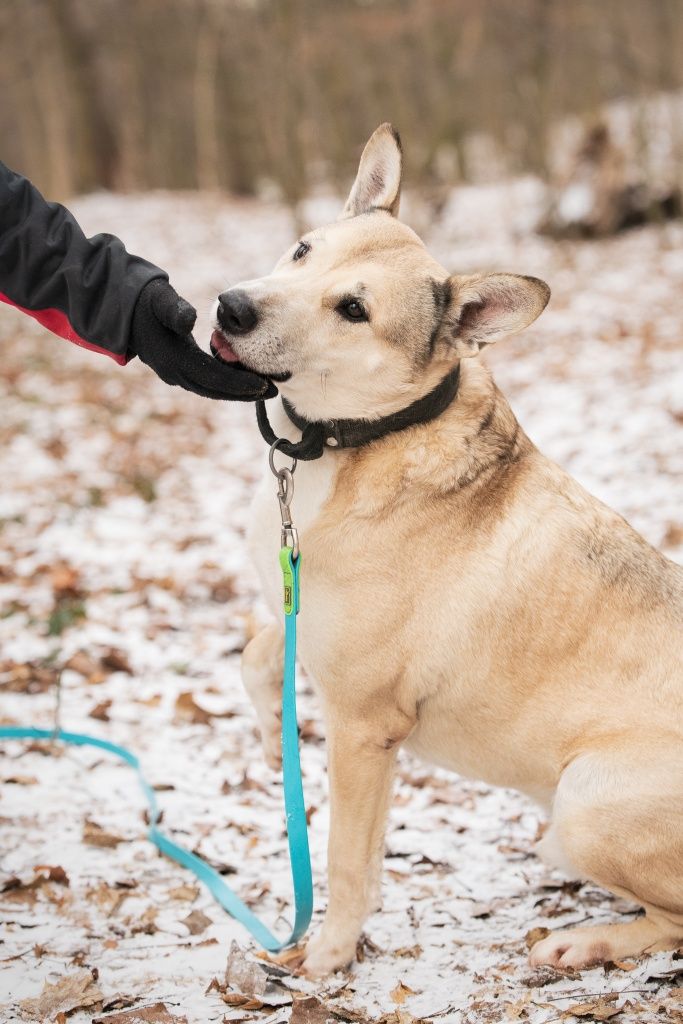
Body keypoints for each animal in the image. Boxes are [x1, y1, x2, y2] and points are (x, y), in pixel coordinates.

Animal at [210, 123, 679, 978]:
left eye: (353, 309)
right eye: (301, 249)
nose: (230, 305)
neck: (345, 441)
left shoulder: (364, 727)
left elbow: (345, 858)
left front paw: (328, 957)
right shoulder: (301, 617)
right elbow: (258, 652)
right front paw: (269, 735)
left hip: (585, 801)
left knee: (671, 920)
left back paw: (585, 940)